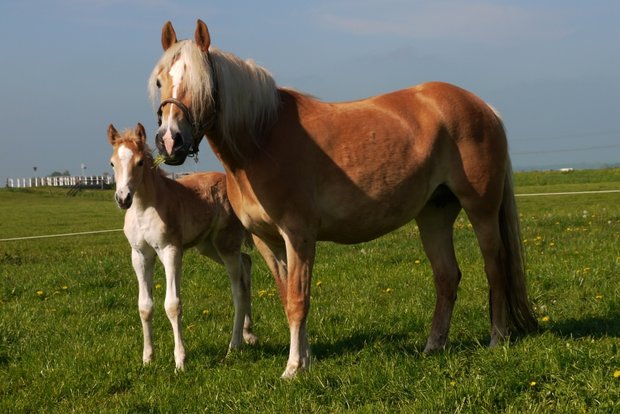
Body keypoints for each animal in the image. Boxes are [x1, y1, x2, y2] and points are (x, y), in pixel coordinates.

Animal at [108, 121, 256, 370]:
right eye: (112, 163)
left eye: (140, 162)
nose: (123, 199)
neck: (144, 207)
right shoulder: (140, 255)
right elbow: (144, 306)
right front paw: (148, 358)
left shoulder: (171, 251)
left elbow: (172, 305)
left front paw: (180, 361)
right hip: (208, 246)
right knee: (246, 262)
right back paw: (249, 334)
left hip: (226, 244)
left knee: (238, 290)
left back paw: (234, 346)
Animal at [149, 21, 536, 380]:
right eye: (160, 82)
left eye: (200, 83)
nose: (170, 141)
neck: (262, 140)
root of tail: (484, 107)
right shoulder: (266, 241)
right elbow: (286, 296)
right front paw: (305, 360)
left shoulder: (299, 236)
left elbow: (298, 300)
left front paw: (293, 368)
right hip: (434, 215)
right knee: (447, 276)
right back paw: (433, 346)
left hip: (481, 210)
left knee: (494, 267)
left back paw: (497, 339)